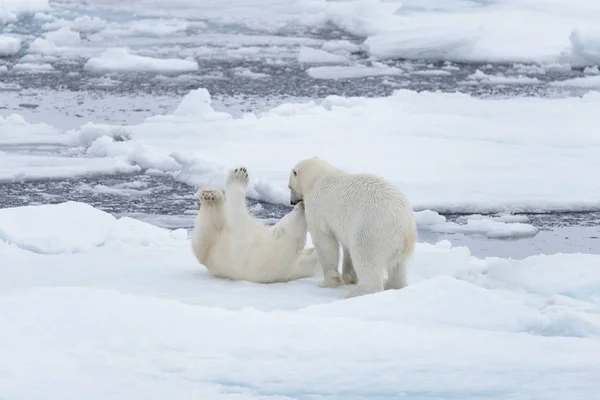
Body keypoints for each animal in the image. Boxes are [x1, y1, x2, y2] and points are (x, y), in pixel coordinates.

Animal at [288, 158, 414, 298]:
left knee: (365, 256)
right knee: (398, 267)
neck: (317, 178)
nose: (292, 202)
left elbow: (325, 242)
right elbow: (346, 246)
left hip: (372, 228)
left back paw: (353, 293)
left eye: (290, 187)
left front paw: (327, 282)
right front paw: (348, 278)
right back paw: (391, 284)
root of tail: (406, 226)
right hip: (400, 245)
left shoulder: (317, 208)